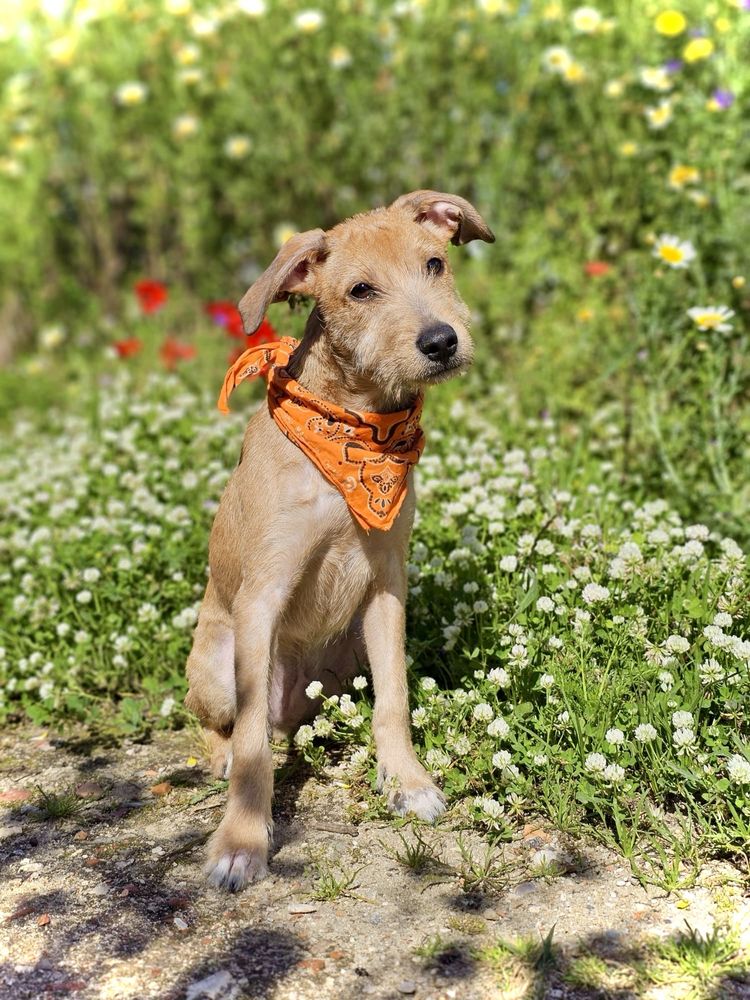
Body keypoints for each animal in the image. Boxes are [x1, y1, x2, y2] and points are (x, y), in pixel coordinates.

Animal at [185, 189, 496, 892]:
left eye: (435, 263)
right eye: (360, 290)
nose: (441, 341)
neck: (357, 426)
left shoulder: (386, 584)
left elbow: (395, 699)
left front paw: (407, 782)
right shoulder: (262, 594)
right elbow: (251, 746)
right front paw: (241, 842)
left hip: (346, 660)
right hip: (217, 662)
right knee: (228, 724)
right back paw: (223, 755)